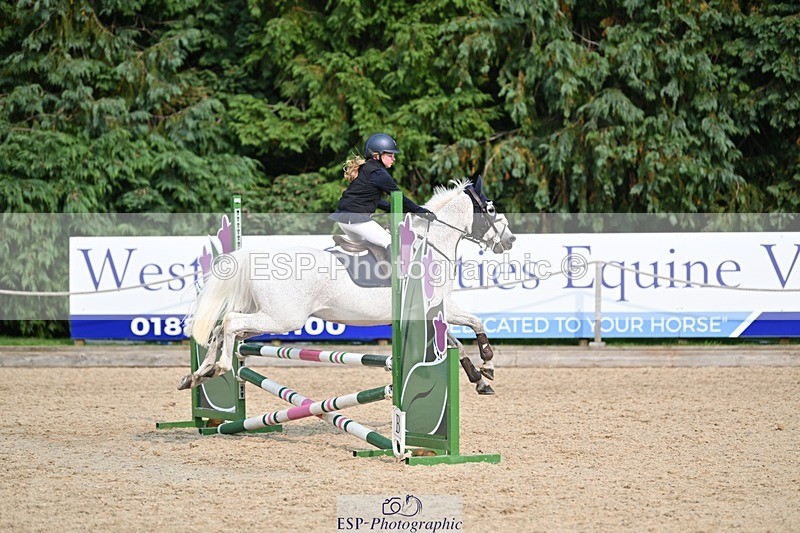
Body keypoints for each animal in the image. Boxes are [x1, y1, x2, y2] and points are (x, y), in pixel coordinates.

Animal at [179, 177, 516, 395]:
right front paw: (487, 363)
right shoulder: (438, 307)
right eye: (490, 209)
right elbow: (474, 323)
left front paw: (480, 378)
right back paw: (219, 367)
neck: (432, 246)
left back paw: (198, 374)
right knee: (229, 324)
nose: (510, 240)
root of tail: (256, 257)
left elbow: (457, 342)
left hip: (262, 316)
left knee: (220, 329)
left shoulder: (430, 312)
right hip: (282, 318)